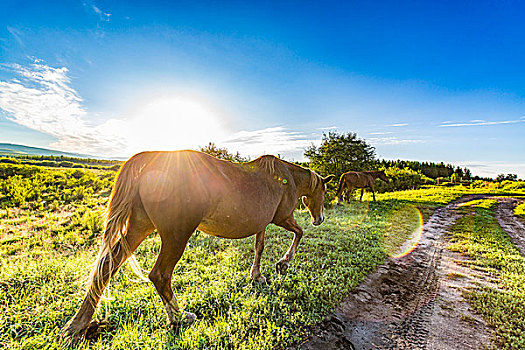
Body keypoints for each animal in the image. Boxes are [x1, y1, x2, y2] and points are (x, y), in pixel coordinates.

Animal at [61, 150, 332, 342]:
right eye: (325, 191)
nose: (320, 218)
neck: (286, 178)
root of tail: (150, 160)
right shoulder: (283, 218)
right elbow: (299, 233)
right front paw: (283, 263)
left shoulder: (263, 224)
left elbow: (259, 247)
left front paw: (257, 275)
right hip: (176, 236)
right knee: (160, 275)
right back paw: (180, 318)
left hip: (138, 227)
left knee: (106, 266)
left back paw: (77, 326)